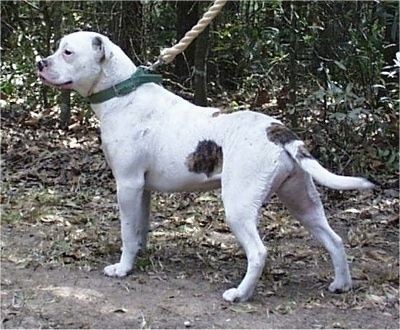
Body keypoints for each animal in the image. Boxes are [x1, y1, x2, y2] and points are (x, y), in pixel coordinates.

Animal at [37, 31, 376, 302]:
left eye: (68, 52)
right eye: (57, 48)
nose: (41, 62)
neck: (123, 93)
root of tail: (277, 130)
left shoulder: (128, 184)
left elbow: (126, 230)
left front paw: (122, 268)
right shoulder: (142, 189)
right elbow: (139, 228)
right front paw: (139, 254)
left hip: (239, 205)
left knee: (258, 252)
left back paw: (240, 294)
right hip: (301, 201)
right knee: (334, 240)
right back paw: (341, 284)